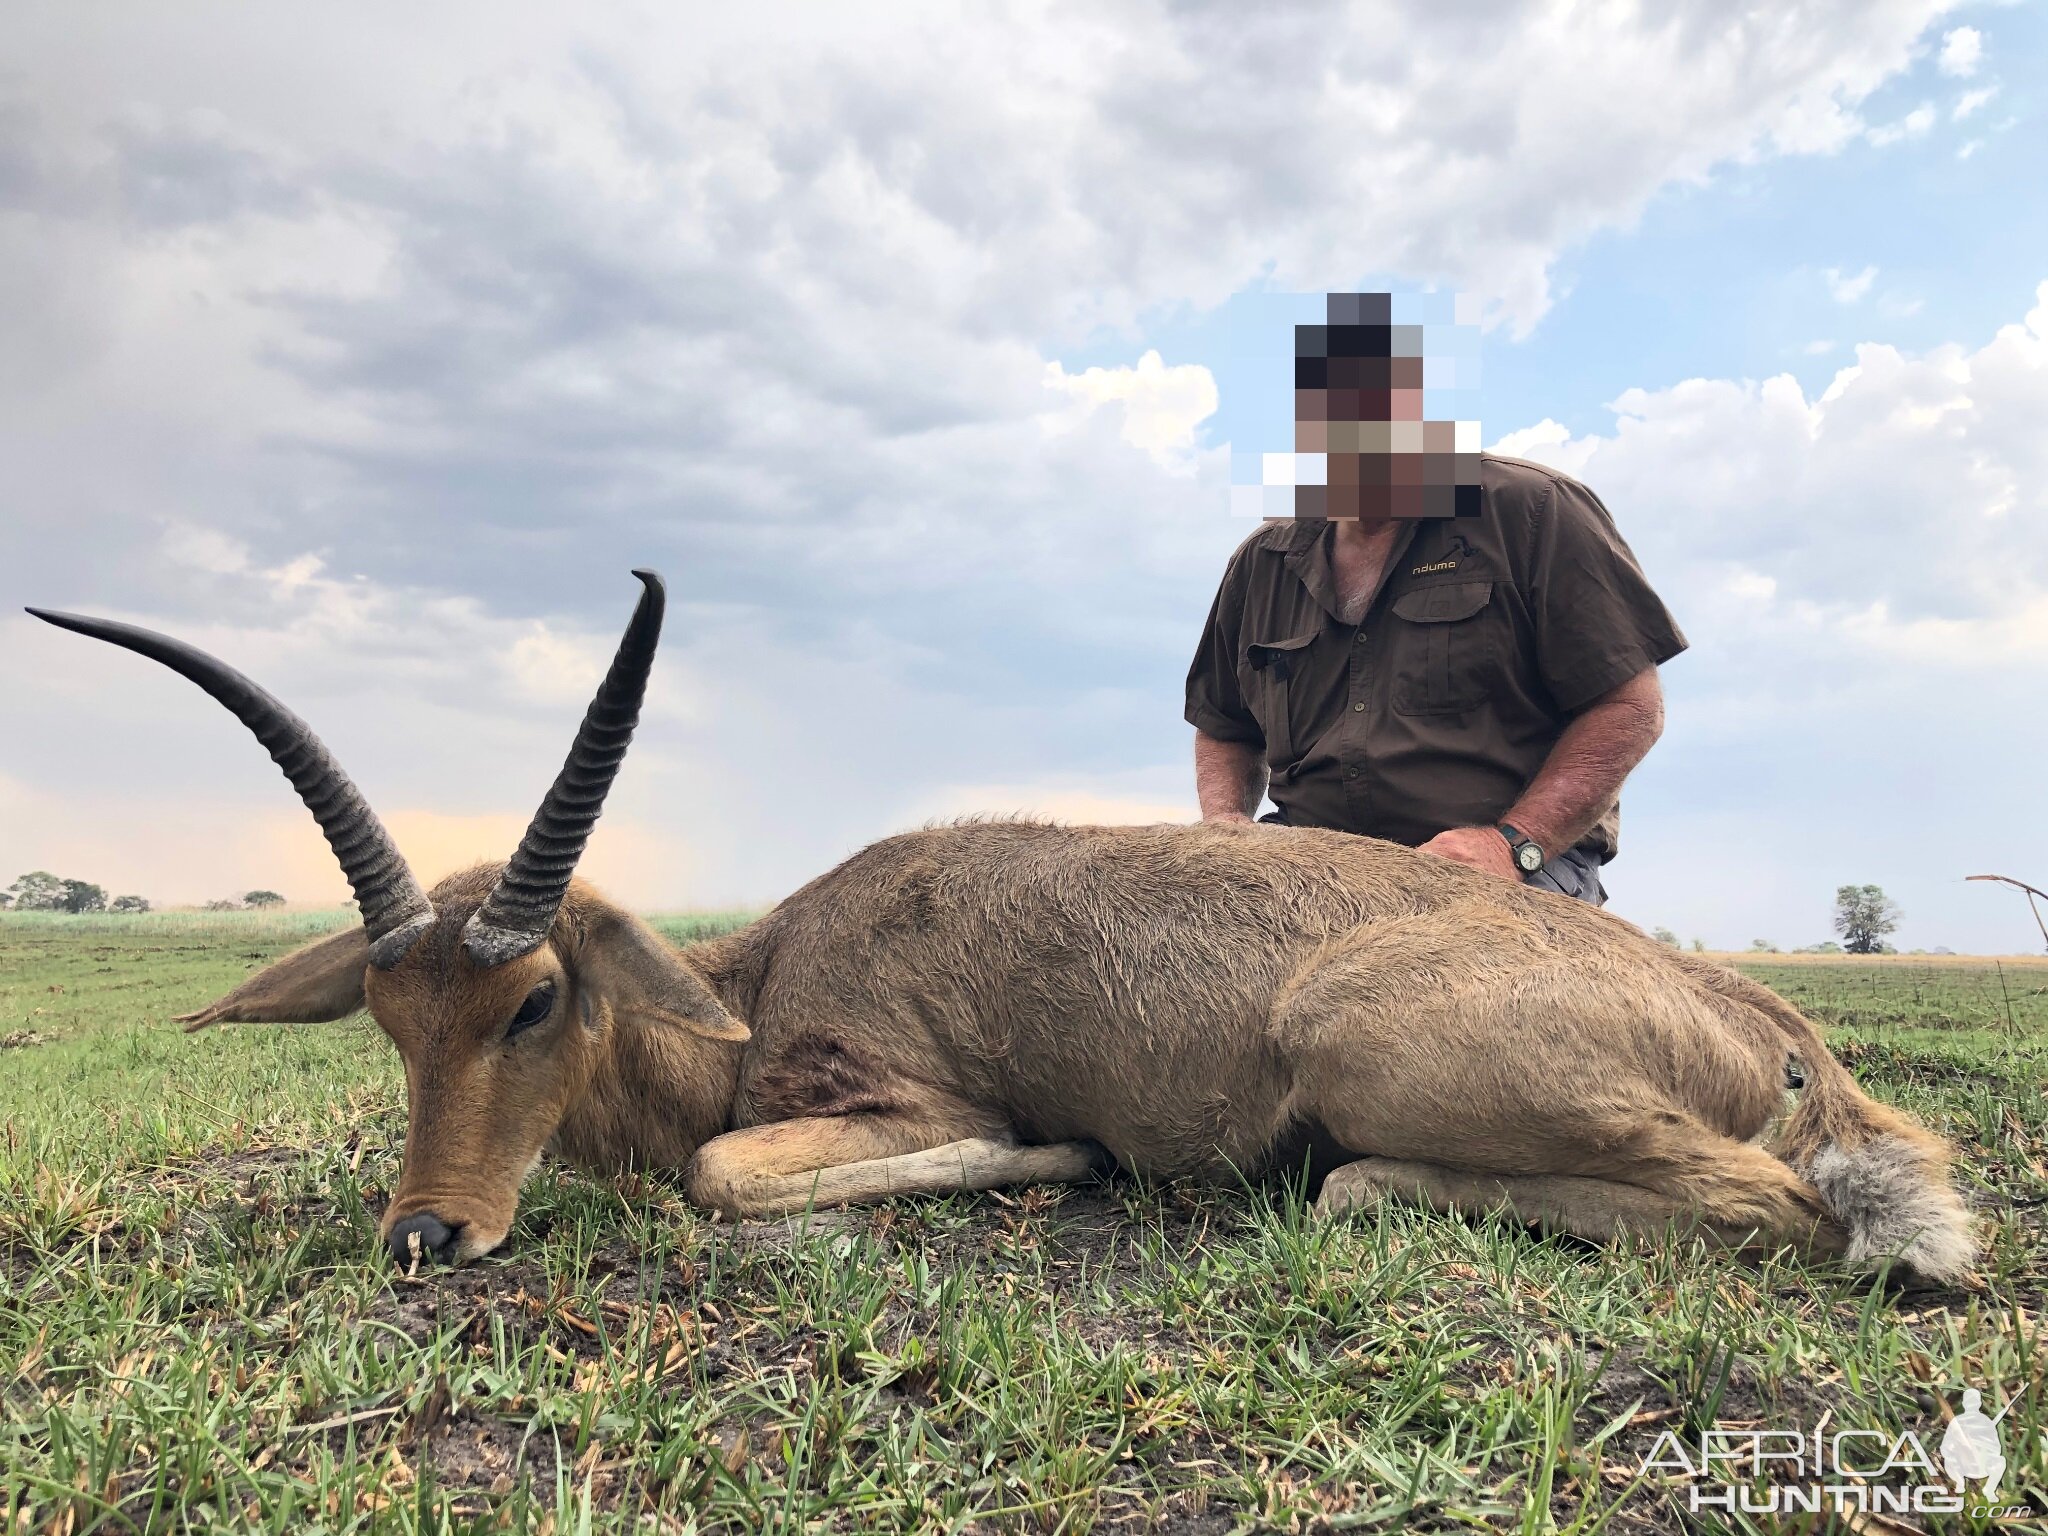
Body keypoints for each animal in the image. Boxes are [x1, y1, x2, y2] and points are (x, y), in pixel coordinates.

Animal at [28, 573, 1982, 1277]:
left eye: (531, 1003)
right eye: (392, 1015)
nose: (428, 1234)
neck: (760, 971)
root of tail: (1766, 1024)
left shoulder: (891, 1097)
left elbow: (727, 1175)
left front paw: (1055, 1158)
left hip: (1375, 1056)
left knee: (1764, 1206)